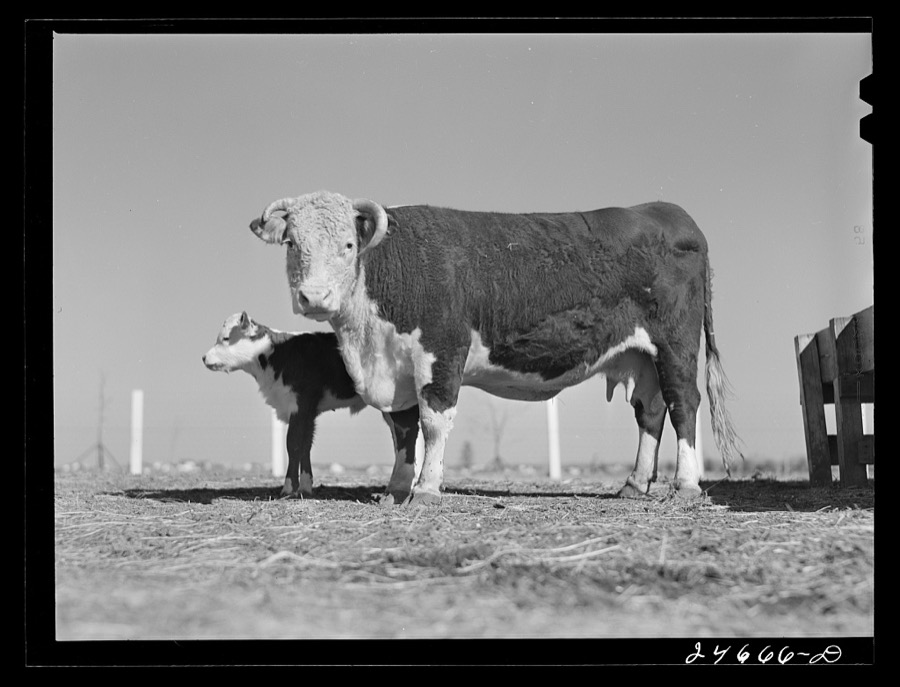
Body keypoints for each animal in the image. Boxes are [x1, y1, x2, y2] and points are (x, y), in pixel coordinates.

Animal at [202, 311, 420, 499]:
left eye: (226, 338)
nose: (204, 357)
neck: (278, 355)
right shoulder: (307, 411)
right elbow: (306, 444)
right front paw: (305, 487)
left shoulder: (299, 403)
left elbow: (293, 444)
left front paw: (288, 488)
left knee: (408, 432)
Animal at [249, 190, 741, 506]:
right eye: (291, 243)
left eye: (348, 245)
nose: (313, 297)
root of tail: (666, 210)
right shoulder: (397, 365)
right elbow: (402, 429)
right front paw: (395, 489)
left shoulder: (442, 351)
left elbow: (433, 422)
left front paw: (426, 490)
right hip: (640, 356)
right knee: (650, 412)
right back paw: (635, 485)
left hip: (674, 346)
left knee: (683, 403)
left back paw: (686, 484)